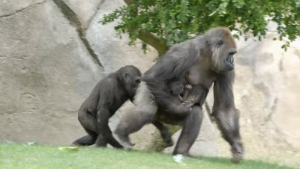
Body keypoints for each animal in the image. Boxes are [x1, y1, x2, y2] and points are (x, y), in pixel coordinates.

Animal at [115, 27, 244, 163]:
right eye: (231, 54)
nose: (232, 62)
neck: (208, 53)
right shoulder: (186, 50)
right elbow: (154, 77)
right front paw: (180, 108)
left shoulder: (226, 71)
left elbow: (224, 109)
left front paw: (236, 146)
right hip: (149, 93)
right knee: (147, 109)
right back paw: (121, 134)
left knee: (195, 113)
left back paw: (182, 151)